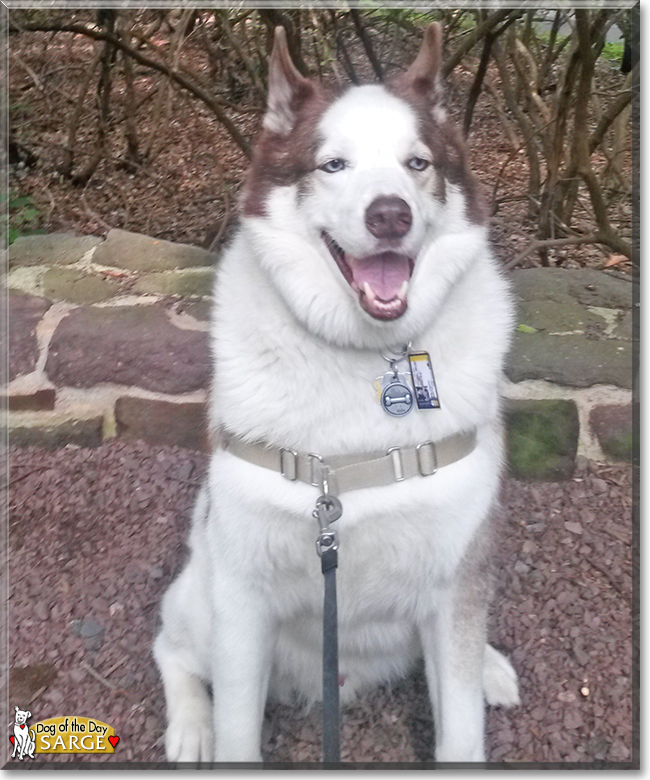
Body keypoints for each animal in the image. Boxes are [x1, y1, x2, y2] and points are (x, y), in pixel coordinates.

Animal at [154, 24, 520, 760]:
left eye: (417, 163)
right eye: (333, 166)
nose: (390, 216)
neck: (363, 358)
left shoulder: (456, 574)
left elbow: (462, 729)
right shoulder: (242, 593)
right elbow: (238, 732)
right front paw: (213, 730)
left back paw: (491, 665)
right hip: (202, 602)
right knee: (169, 643)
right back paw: (191, 725)